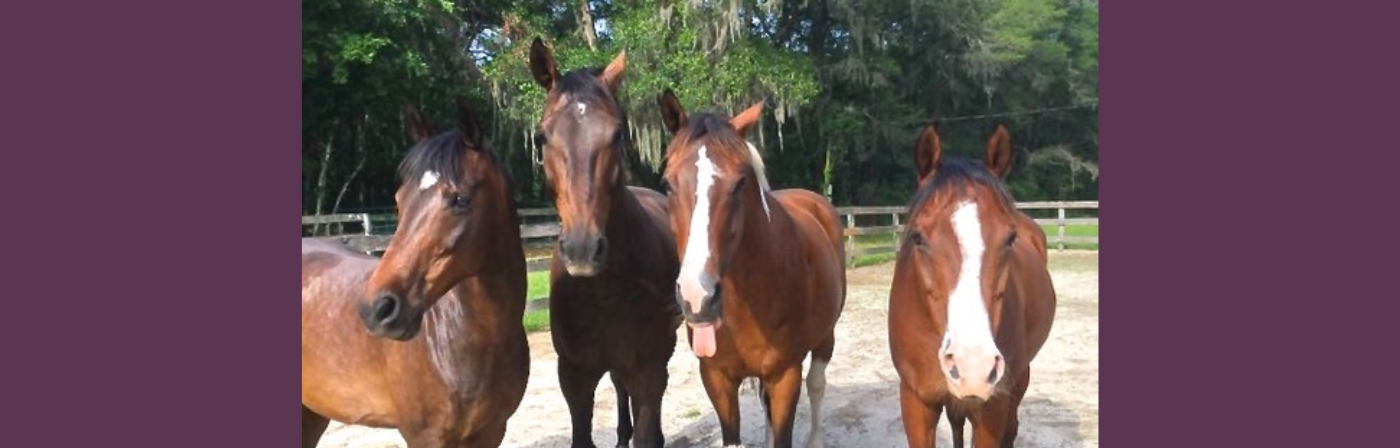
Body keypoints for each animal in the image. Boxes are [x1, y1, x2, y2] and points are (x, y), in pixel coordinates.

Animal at [527, 37, 682, 448]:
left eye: (617, 134)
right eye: (541, 137)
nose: (582, 250)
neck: (604, 292)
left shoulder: (647, 369)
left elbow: (647, 424)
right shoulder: (574, 377)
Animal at [656, 89, 846, 448]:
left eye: (739, 182)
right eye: (668, 184)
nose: (698, 298)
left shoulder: (785, 376)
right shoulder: (716, 378)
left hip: (825, 337)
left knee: (817, 385)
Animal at [887, 124, 1057, 448]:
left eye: (1010, 239)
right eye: (918, 238)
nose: (973, 366)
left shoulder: (992, 408)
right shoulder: (916, 401)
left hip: (1018, 380)